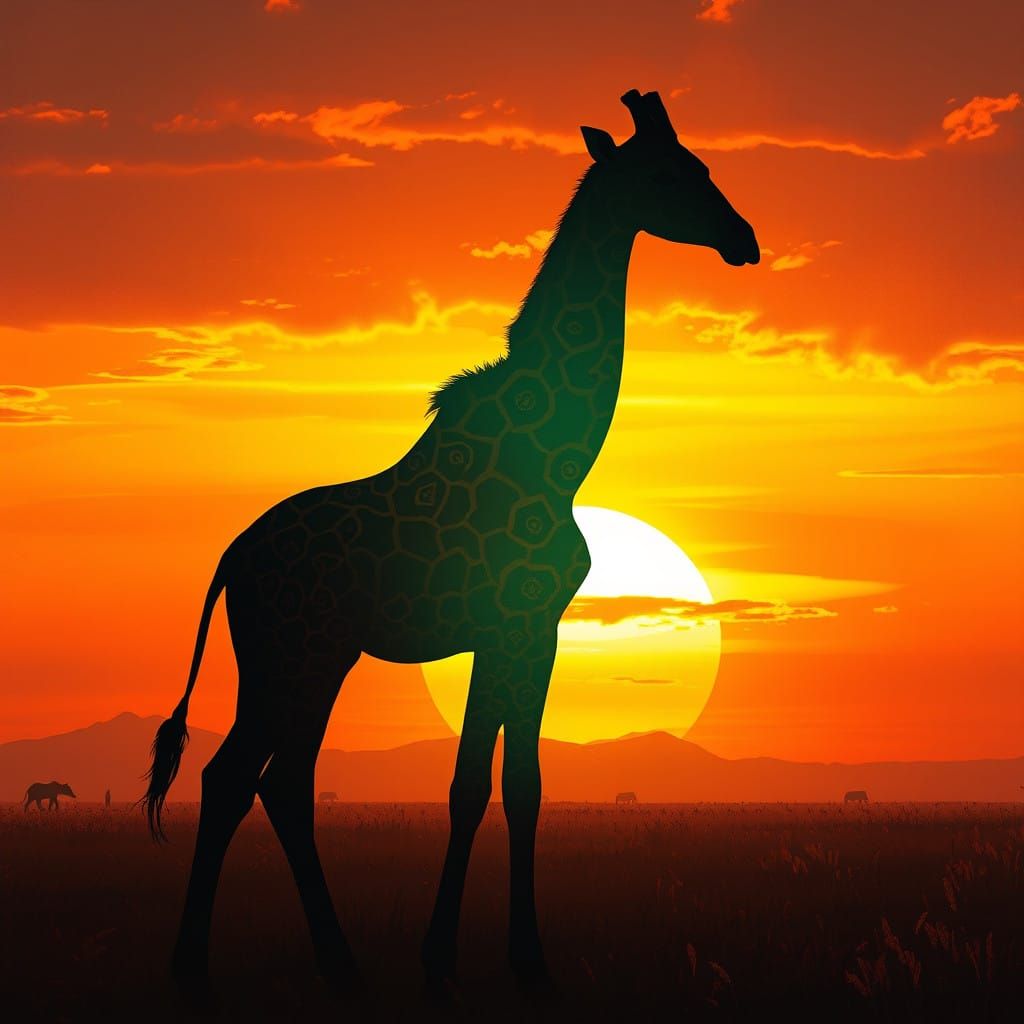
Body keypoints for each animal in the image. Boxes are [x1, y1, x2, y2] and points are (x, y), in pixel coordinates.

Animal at [142, 88, 759, 1001]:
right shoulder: (524, 624)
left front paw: (483, 956)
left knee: (274, 782)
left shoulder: (513, 633)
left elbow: (506, 784)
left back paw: (335, 962)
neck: (560, 457)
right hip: (295, 654)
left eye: (702, 165)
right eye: (675, 173)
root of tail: (230, 562)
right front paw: (490, 959)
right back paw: (200, 965)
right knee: (238, 778)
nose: (744, 240)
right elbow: (488, 785)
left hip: (309, 658)